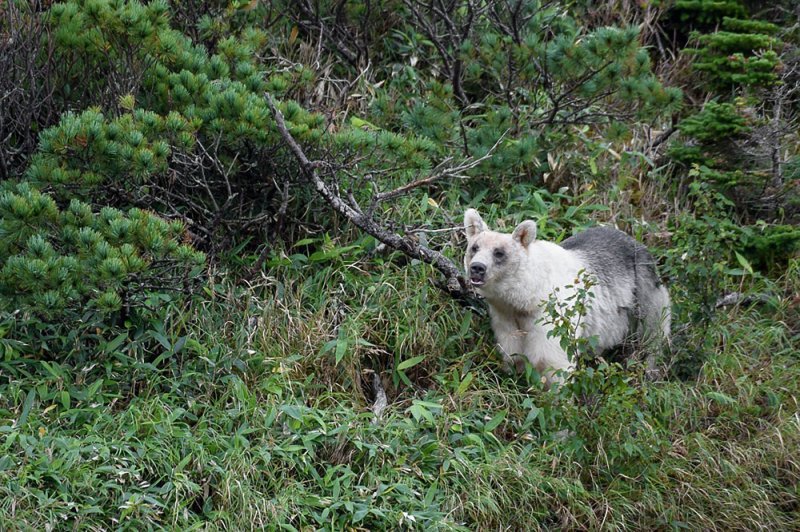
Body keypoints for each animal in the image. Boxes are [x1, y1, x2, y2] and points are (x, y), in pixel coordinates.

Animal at [462, 209, 668, 386]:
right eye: (474, 247)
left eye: (499, 252)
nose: (477, 268)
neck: (527, 297)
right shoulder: (505, 315)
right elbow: (512, 350)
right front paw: (512, 374)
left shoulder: (551, 314)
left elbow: (551, 359)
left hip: (643, 291)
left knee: (652, 332)